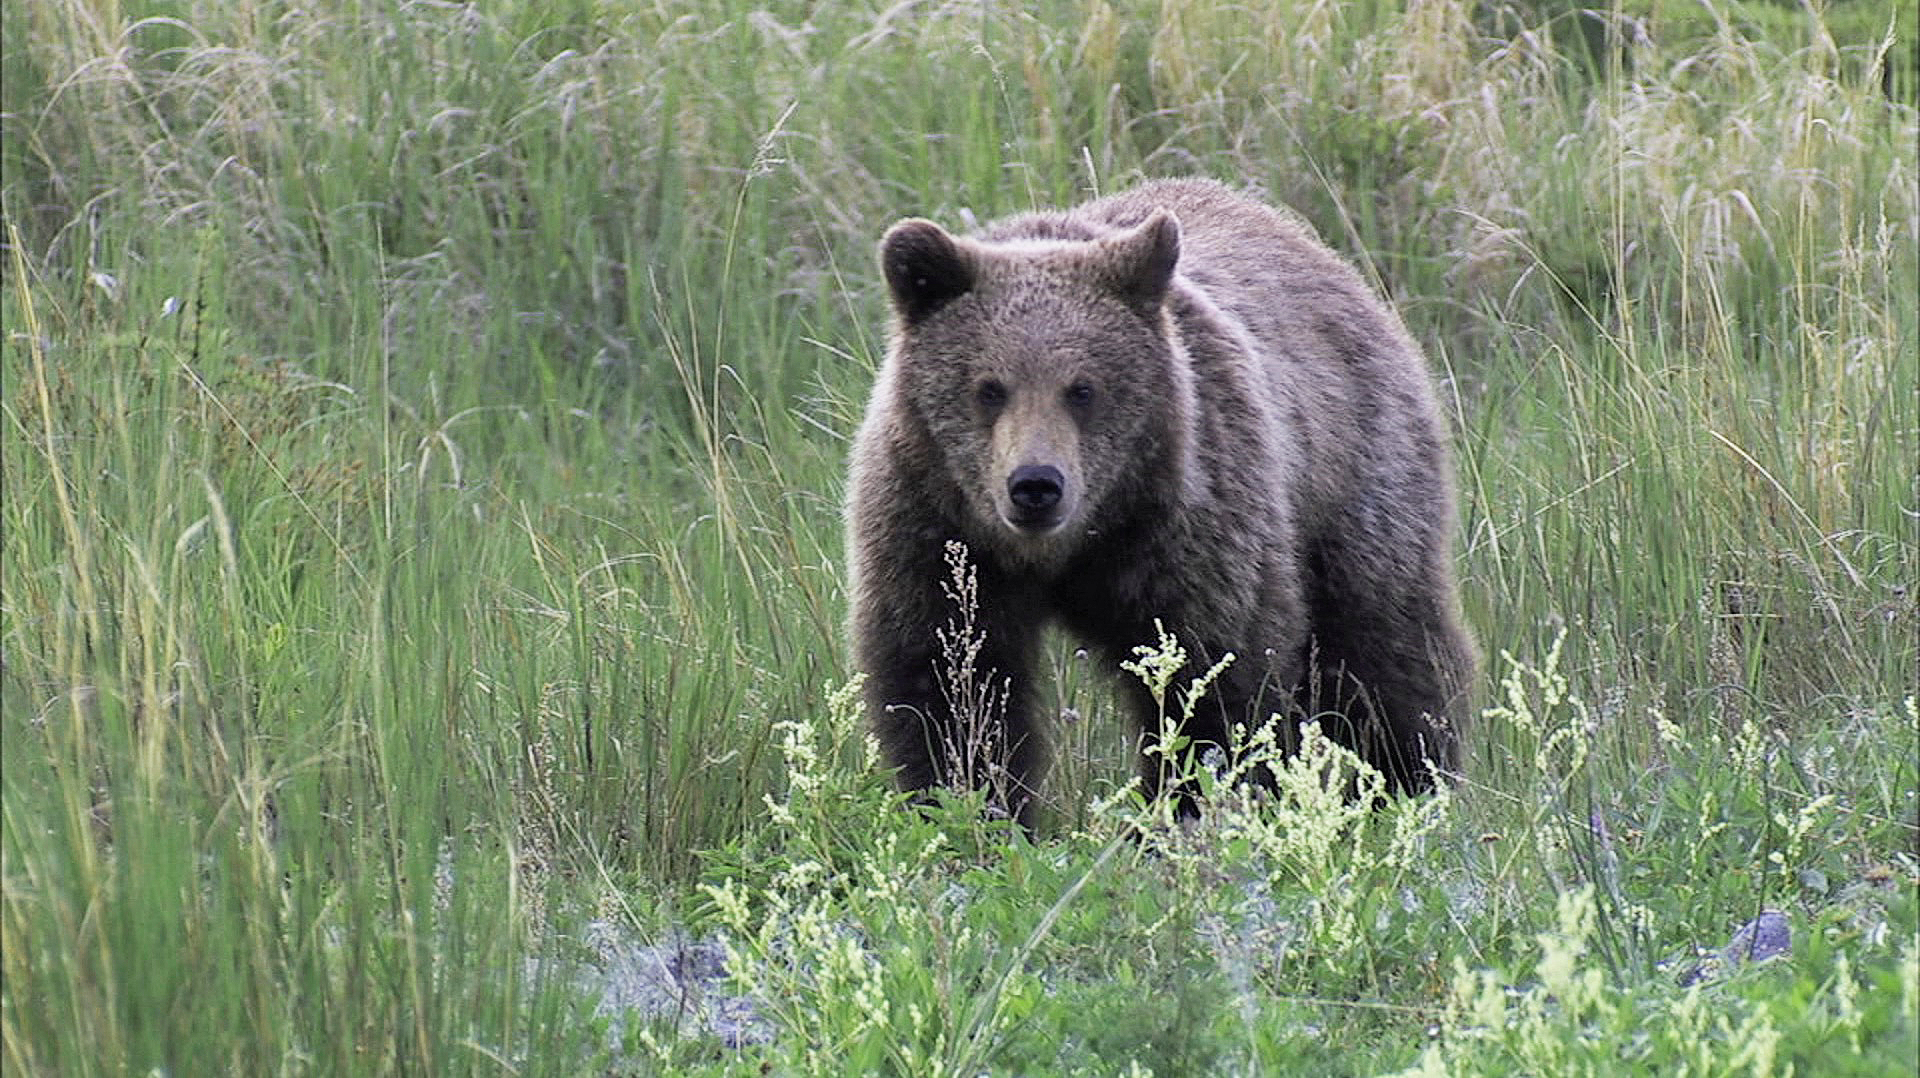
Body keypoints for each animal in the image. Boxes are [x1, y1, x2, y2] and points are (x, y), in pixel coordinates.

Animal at [844, 178, 1475, 828]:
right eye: (989, 388)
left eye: (1083, 388)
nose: (1036, 484)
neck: (1069, 546)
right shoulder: (934, 527)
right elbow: (949, 680)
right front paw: (971, 806)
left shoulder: (1188, 522)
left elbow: (1214, 676)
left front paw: (1187, 806)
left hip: (1356, 476)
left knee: (1384, 644)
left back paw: (1411, 781)